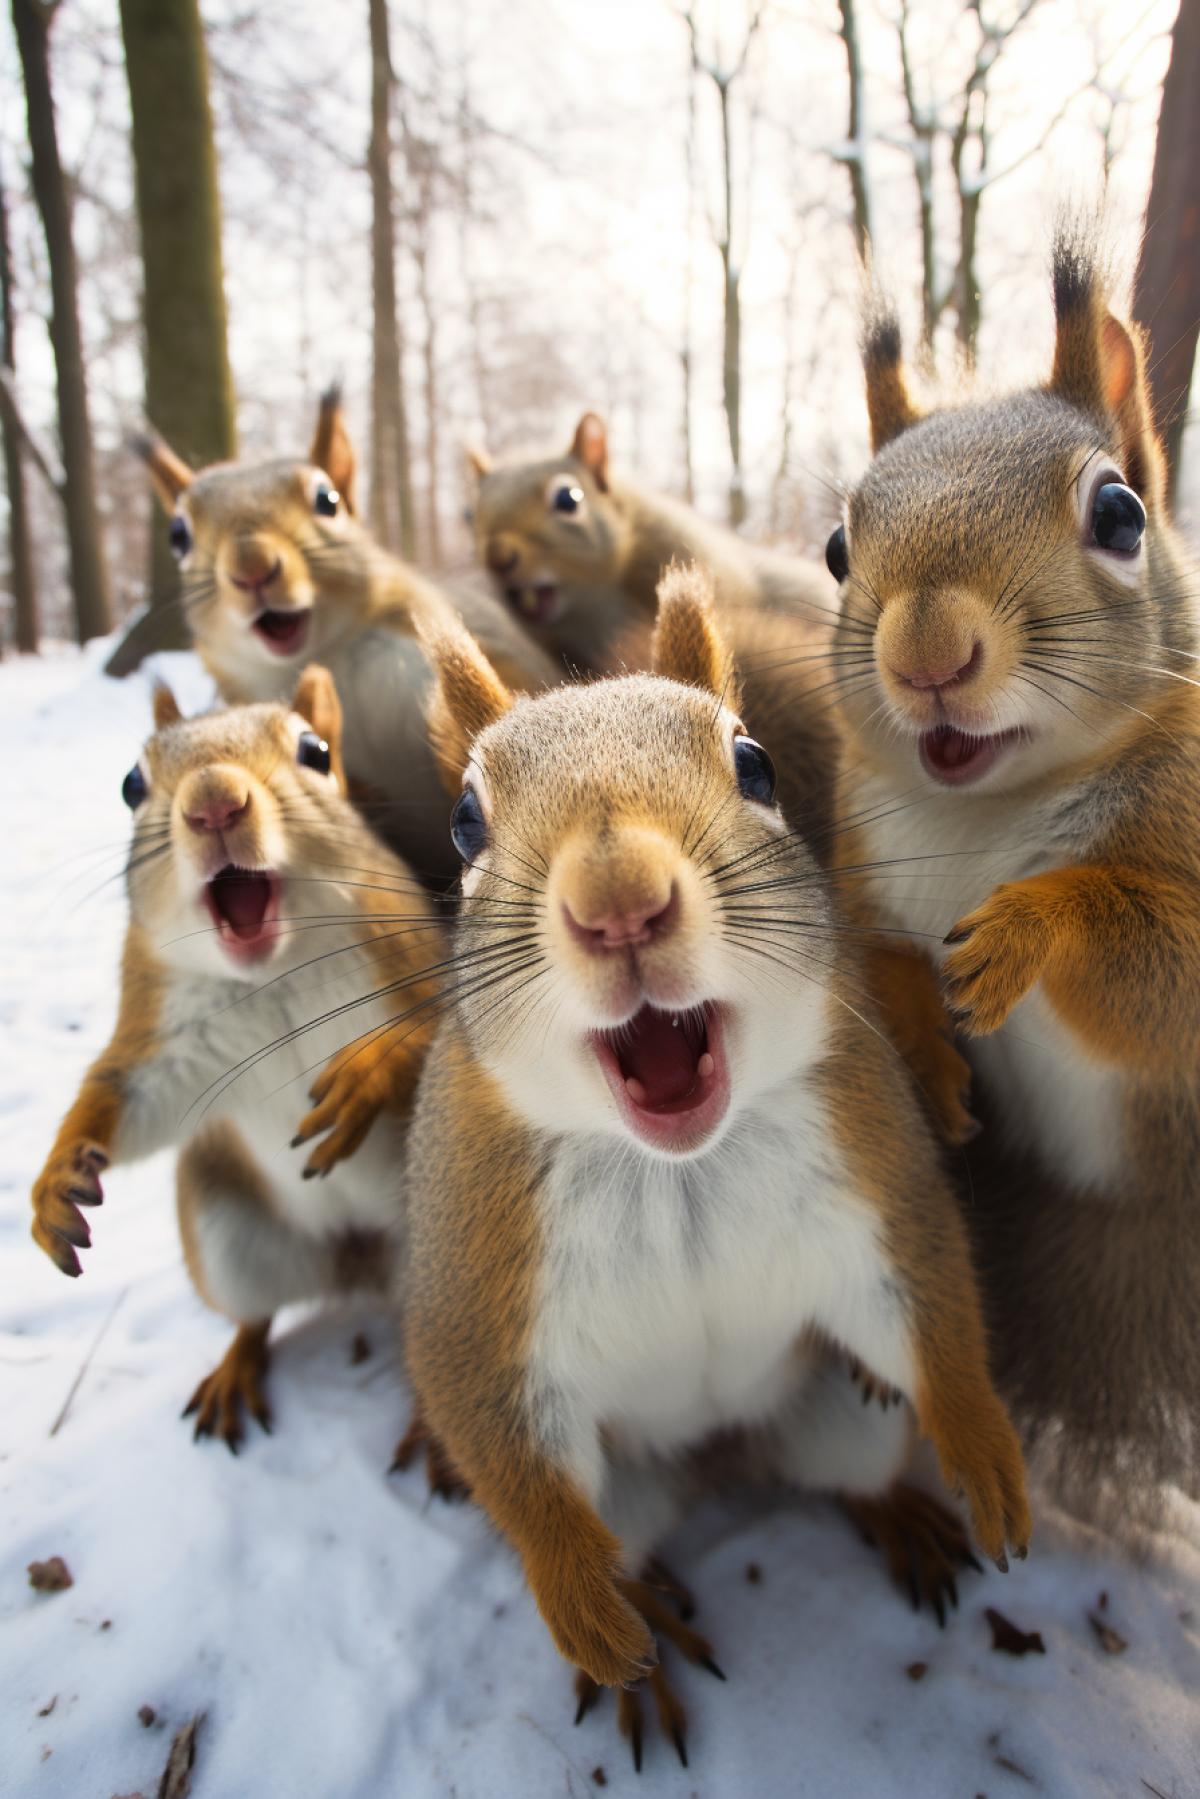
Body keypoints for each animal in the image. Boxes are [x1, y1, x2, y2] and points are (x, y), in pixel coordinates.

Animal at [30, 665, 443, 1447]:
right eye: (131, 783)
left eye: (315, 752)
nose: (213, 802)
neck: (271, 972)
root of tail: (355, 1258)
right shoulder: (164, 1038)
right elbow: (122, 1098)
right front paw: (53, 1185)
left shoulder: (420, 955)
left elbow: (441, 1029)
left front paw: (368, 1072)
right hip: (224, 1234)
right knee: (256, 1314)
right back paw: (234, 1371)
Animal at [395, 564, 1029, 1761]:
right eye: (463, 822)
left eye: (756, 765)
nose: (620, 901)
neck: (673, 1167)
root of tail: (722, 1445)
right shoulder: (480, 1263)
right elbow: (490, 1419)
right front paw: (583, 1606)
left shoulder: (871, 1178)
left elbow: (929, 1301)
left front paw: (984, 1452)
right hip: (628, 1489)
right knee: (626, 1531)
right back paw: (635, 1628)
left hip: (843, 1414)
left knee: (846, 1463)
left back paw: (905, 1516)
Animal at [825, 225, 1200, 1527]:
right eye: (836, 547)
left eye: (1121, 513)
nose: (929, 650)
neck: (982, 813)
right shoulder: (861, 857)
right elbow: (873, 954)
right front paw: (925, 1039)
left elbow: (1163, 971)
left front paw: (1027, 930)